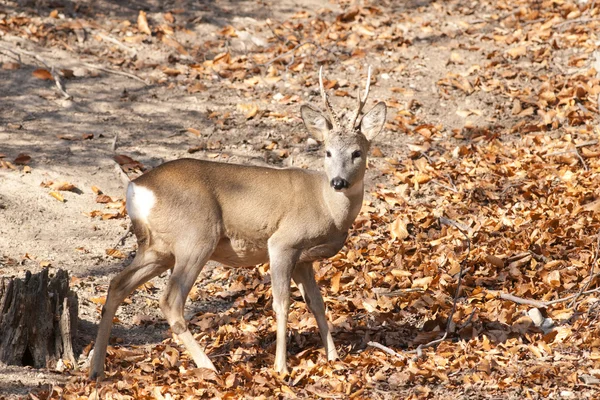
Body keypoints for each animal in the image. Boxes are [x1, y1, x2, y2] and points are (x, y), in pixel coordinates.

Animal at [89, 65, 390, 378]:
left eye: (357, 152)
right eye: (327, 152)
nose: (338, 181)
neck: (327, 208)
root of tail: (136, 188)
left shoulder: (304, 259)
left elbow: (317, 304)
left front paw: (333, 358)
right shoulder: (283, 242)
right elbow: (282, 303)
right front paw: (281, 367)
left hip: (156, 248)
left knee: (116, 284)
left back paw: (95, 369)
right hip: (196, 237)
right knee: (170, 300)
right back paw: (208, 366)